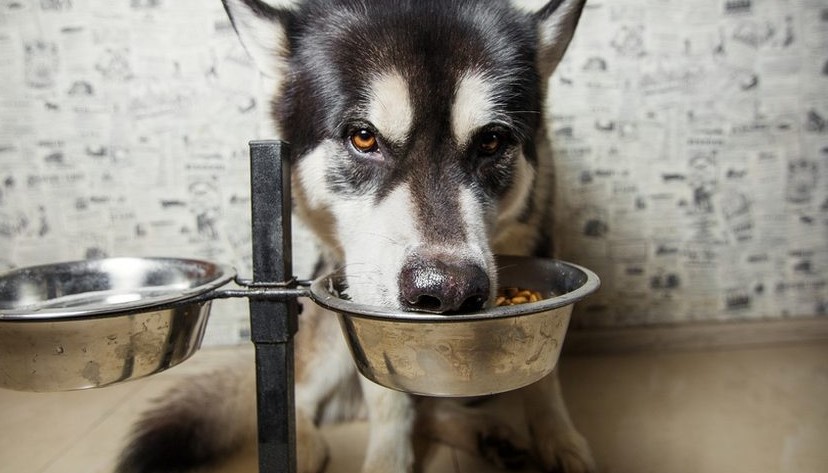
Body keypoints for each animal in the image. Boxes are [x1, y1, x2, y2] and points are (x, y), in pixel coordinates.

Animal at [118, 0, 596, 472]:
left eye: (492, 141)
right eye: (364, 137)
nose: (449, 292)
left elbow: (544, 381)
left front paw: (559, 440)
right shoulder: (364, 307)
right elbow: (388, 398)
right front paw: (387, 459)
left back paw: (489, 436)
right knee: (302, 393)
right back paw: (306, 446)